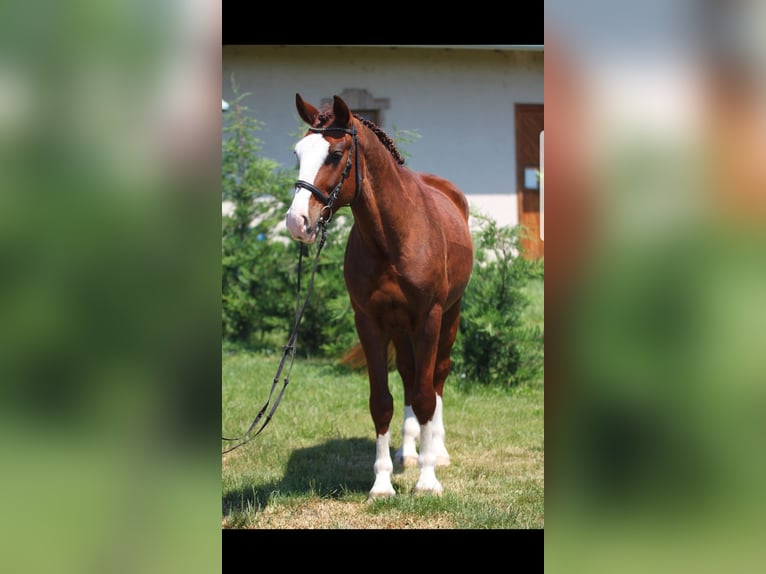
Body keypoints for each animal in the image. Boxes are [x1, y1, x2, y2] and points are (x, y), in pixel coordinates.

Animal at [284, 95, 472, 500]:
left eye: (336, 154)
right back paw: (408, 453)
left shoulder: (429, 319)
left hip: (450, 317)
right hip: (401, 330)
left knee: (436, 378)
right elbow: (382, 402)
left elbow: (426, 396)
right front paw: (383, 483)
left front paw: (428, 481)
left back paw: (438, 452)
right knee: (409, 376)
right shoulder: (370, 322)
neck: (393, 237)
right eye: (298, 153)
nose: (297, 222)